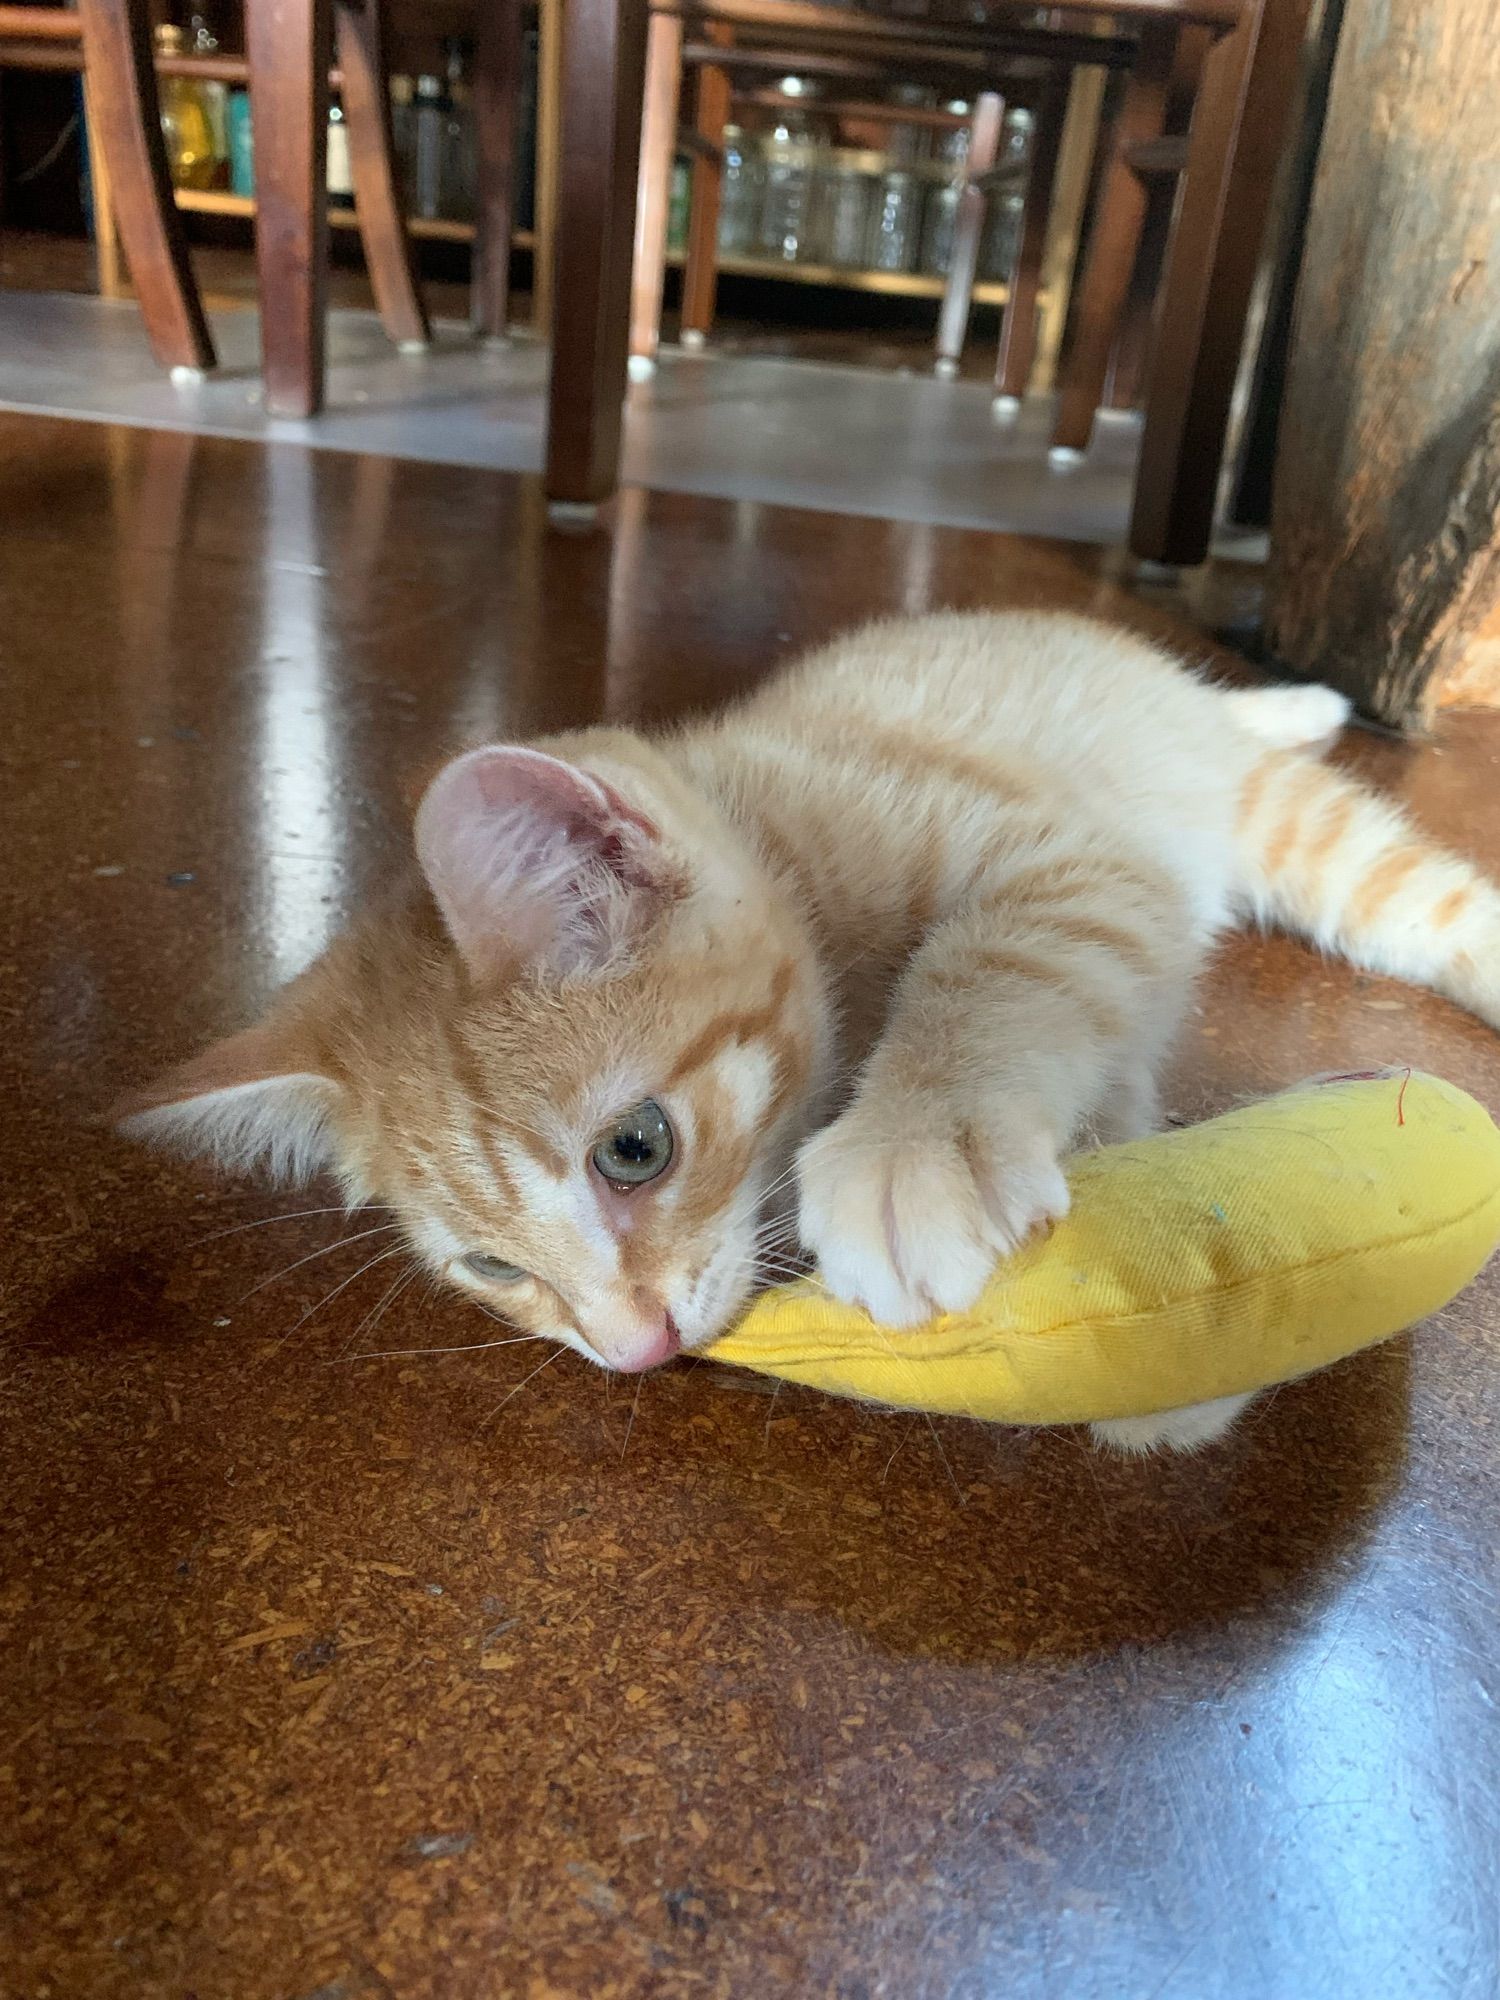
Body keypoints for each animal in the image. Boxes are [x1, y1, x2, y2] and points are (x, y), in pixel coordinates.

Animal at [123, 612, 1500, 1456]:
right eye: (490, 1267)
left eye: (635, 1148)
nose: (631, 1352)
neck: (783, 825)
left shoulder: (1083, 861)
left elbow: (1008, 960)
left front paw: (919, 1142)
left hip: (1293, 833)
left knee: (1414, 894)